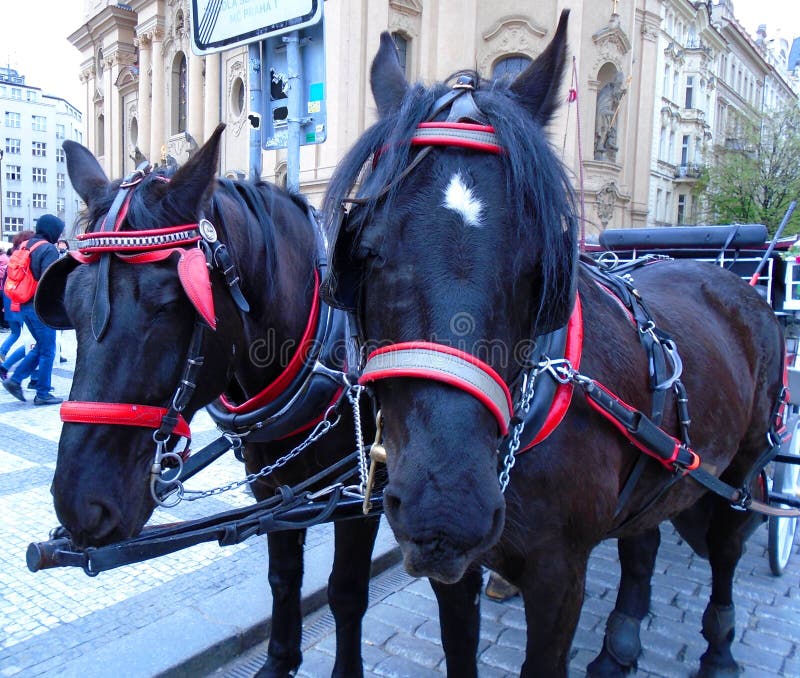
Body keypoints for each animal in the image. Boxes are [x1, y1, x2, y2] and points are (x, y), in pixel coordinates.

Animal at [44, 126, 382, 676]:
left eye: (165, 305)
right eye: (68, 303)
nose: (80, 506)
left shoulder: (361, 489)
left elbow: (348, 592)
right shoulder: (274, 490)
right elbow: (283, 576)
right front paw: (279, 660)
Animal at [322, 11, 784, 678]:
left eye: (541, 260)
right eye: (366, 248)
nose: (447, 508)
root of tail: (729, 276)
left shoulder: (560, 578)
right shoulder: (455, 573)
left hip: (743, 468)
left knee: (725, 546)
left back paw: (718, 649)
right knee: (643, 540)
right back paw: (621, 641)